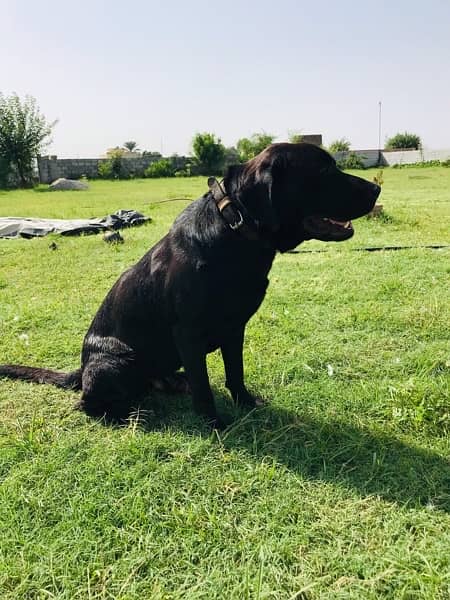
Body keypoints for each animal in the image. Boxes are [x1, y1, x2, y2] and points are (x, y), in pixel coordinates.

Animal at [0, 145, 380, 426]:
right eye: (324, 172)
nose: (377, 188)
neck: (235, 230)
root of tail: (80, 371)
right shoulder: (188, 333)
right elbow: (204, 386)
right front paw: (215, 422)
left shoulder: (234, 328)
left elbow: (235, 372)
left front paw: (245, 403)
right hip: (118, 360)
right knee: (88, 405)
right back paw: (131, 414)